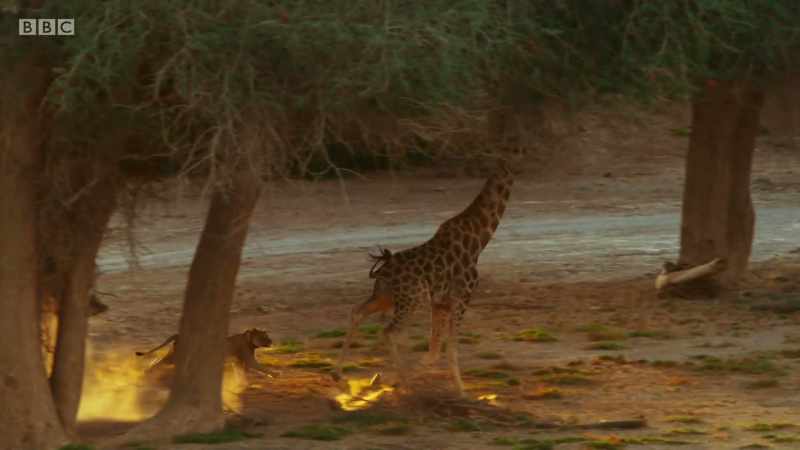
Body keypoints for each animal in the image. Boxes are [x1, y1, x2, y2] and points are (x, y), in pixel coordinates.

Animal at [337, 160, 514, 395]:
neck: (478, 240)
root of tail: (383, 271)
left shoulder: (440, 302)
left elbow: (434, 351)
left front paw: (385, 379)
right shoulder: (461, 297)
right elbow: (450, 348)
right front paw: (462, 392)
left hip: (385, 297)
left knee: (357, 312)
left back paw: (339, 375)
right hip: (413, 299)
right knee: (389, 332)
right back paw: (405, 384)